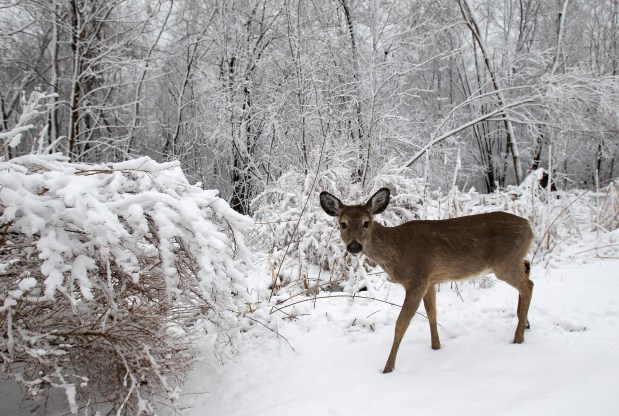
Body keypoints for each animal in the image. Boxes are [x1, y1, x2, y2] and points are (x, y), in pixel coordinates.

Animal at [320, 188, 532, 374]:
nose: (354, 246)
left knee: (527, 286)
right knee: (528, 273)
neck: (397, 249)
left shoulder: (417, 279)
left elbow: (401, 324)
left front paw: (388, 368)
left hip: (505, 263)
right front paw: (436, 347)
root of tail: (530, 227)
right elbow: (432, 314)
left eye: (366, 223)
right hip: (513, 261)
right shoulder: (430, 281)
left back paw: (518, 338)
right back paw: (525, 325)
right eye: (343, 224)